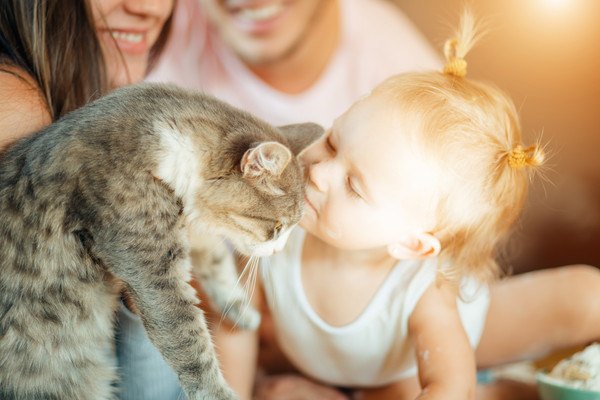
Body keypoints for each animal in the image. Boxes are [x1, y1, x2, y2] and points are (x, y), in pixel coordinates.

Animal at [0, 83, 324, 398]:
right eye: (277, 228)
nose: (278, 250)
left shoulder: (192, 226)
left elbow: (216, 261)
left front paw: (238, 308)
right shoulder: (155, 269)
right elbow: (188, 338)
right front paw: (217, 392)